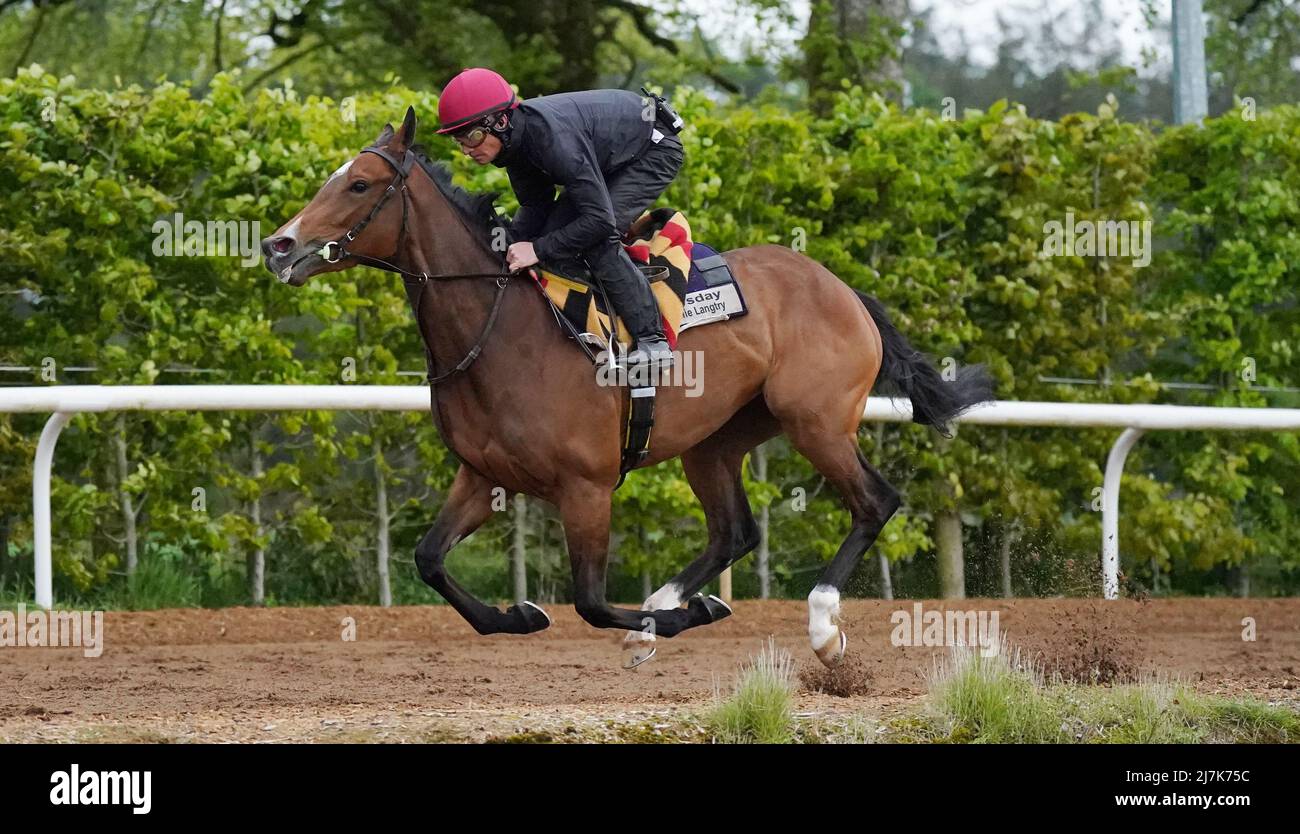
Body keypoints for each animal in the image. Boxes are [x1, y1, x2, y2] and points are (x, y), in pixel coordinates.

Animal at [263, 109, 993, 670]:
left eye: (359, 184)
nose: (278, 245)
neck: (499, 330)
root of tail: (843, 288)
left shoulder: (586, 486)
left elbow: (588, 600)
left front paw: (671, 620)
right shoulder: (482, 474)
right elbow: (429, 560)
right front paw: (521, 615)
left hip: (815, 421)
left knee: (875, 502)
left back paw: (815, 626)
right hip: (716, 440)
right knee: (735, 531)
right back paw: (670, 601)